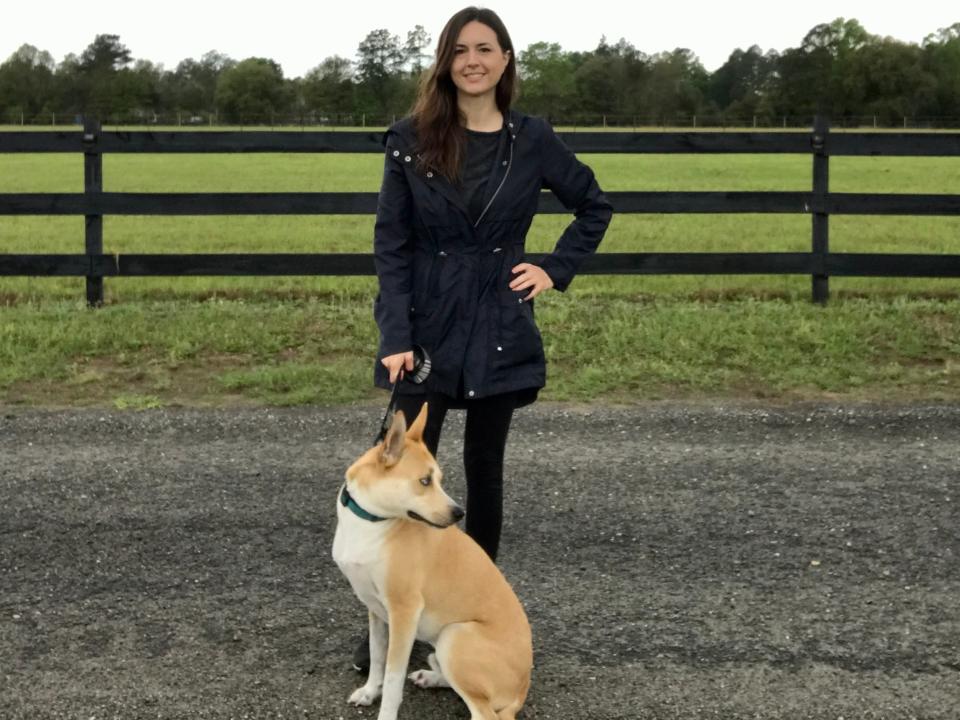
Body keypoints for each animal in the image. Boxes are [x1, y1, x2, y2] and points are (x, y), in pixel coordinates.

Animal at [334, 404, 532, 720]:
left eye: (439, 479)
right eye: (425, 481)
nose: (458, 513)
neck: (371, 521)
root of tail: (522, 688)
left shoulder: (404, 610)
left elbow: (393, 679)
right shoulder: (374, 607)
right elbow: (377, 656)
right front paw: (369, 691)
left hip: (455, 635)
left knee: (484, 712)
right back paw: (430, 677)